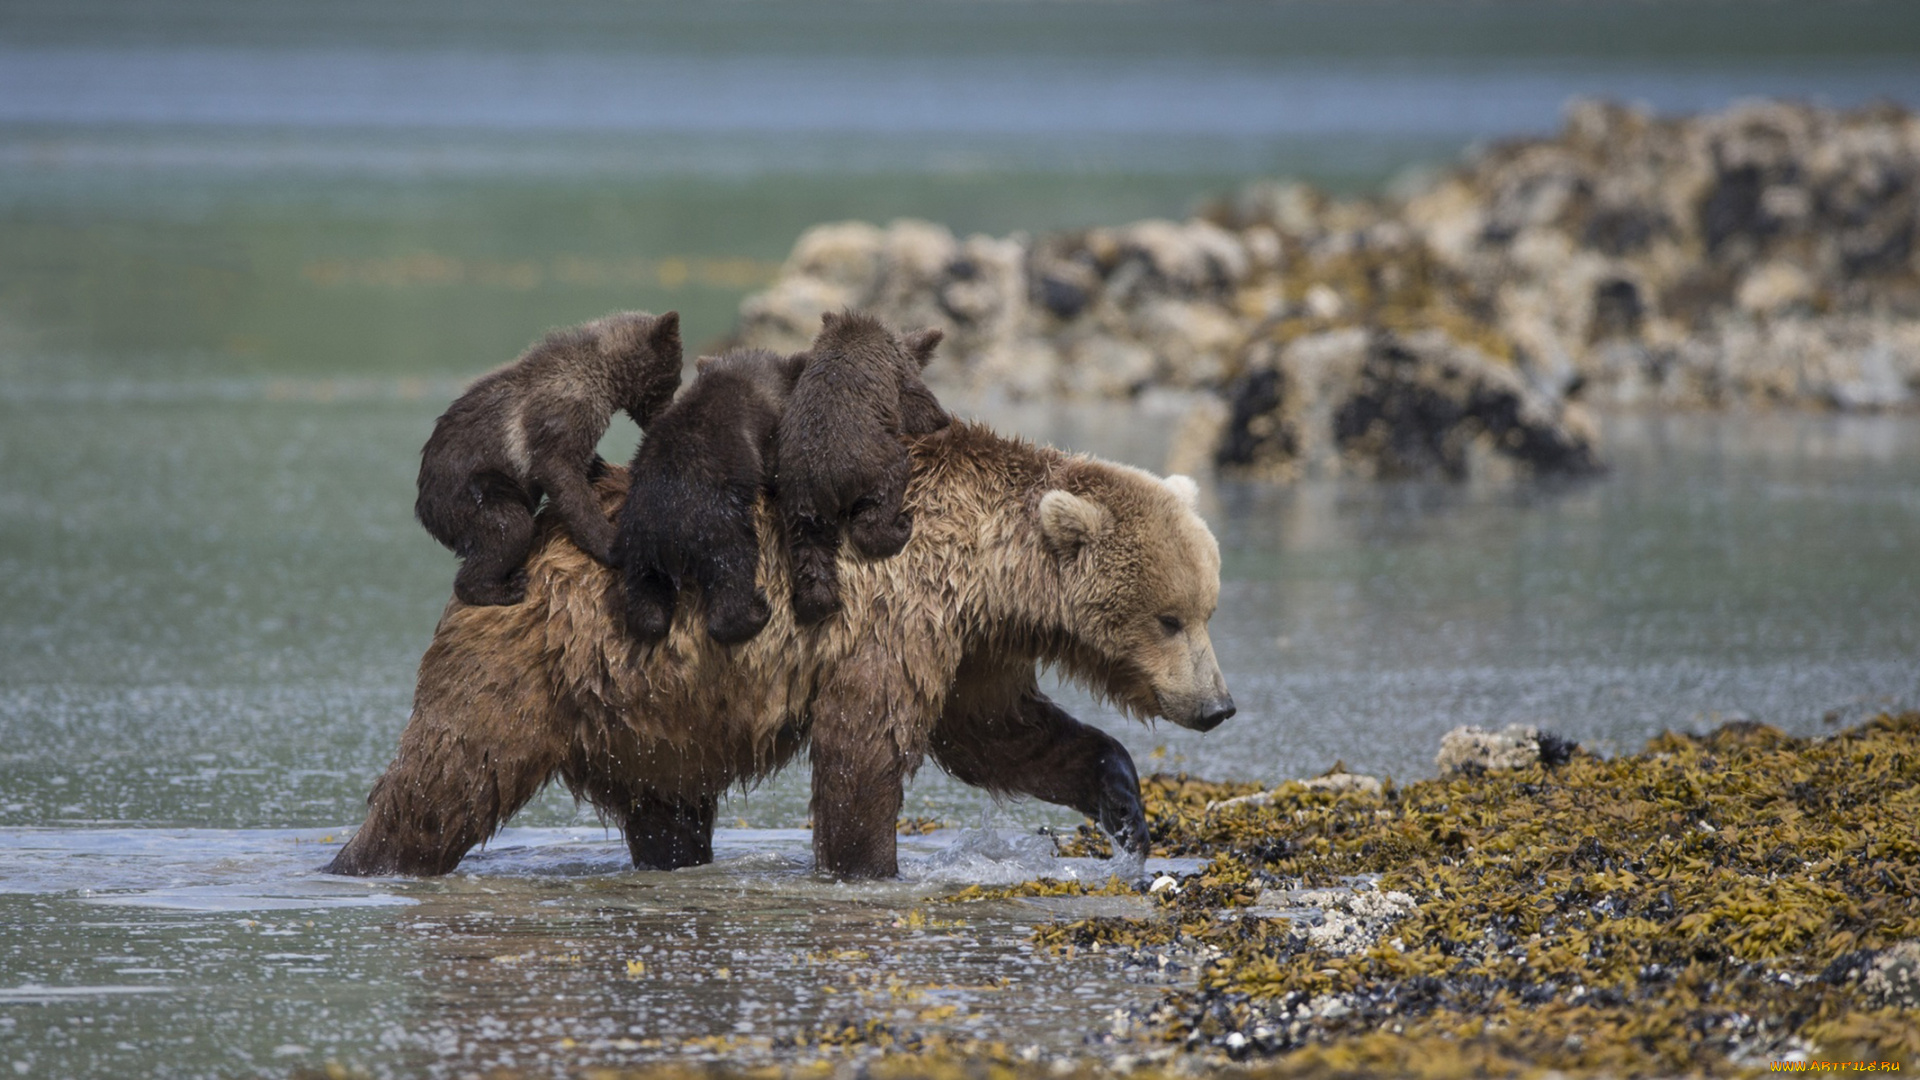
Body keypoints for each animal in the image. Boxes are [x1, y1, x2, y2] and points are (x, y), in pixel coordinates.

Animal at [328, 417, 1228, 880]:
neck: (988, 573)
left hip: (656, 714)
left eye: (1206, 608)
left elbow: (999, 735)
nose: (1217, 705)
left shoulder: (973, 645)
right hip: (533, 667)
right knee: (443, 783)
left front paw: (1124, 802)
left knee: (667, 814)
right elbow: (866, 744)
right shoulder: (895, 614)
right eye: (1169, 618)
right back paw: (361, 861)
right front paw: (868, 867)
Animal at [416, 309, 687, 607]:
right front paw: (610, 544)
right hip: (470, 492)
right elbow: (562, 476)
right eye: (674, 380)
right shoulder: (560, 417)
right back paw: (501, 587)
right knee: (509, 526)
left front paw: (603, 469)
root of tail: (424, 511)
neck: (603, 375)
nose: (666, 419)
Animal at [618, 349, 806, 641]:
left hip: (638, 541)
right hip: (717, 526)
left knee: (645, 593)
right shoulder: (763, 430)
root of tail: (669, 537)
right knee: (734, 570)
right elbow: (774, 465)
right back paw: (757, 609)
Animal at [768, 309, 940, 622]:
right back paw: (900, 526)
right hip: (875, 465)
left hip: (800, 501)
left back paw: (816, 604)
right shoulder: (900, 374)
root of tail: (823, 478)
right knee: (874, 512)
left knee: (811, 552)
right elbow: (919, 405)